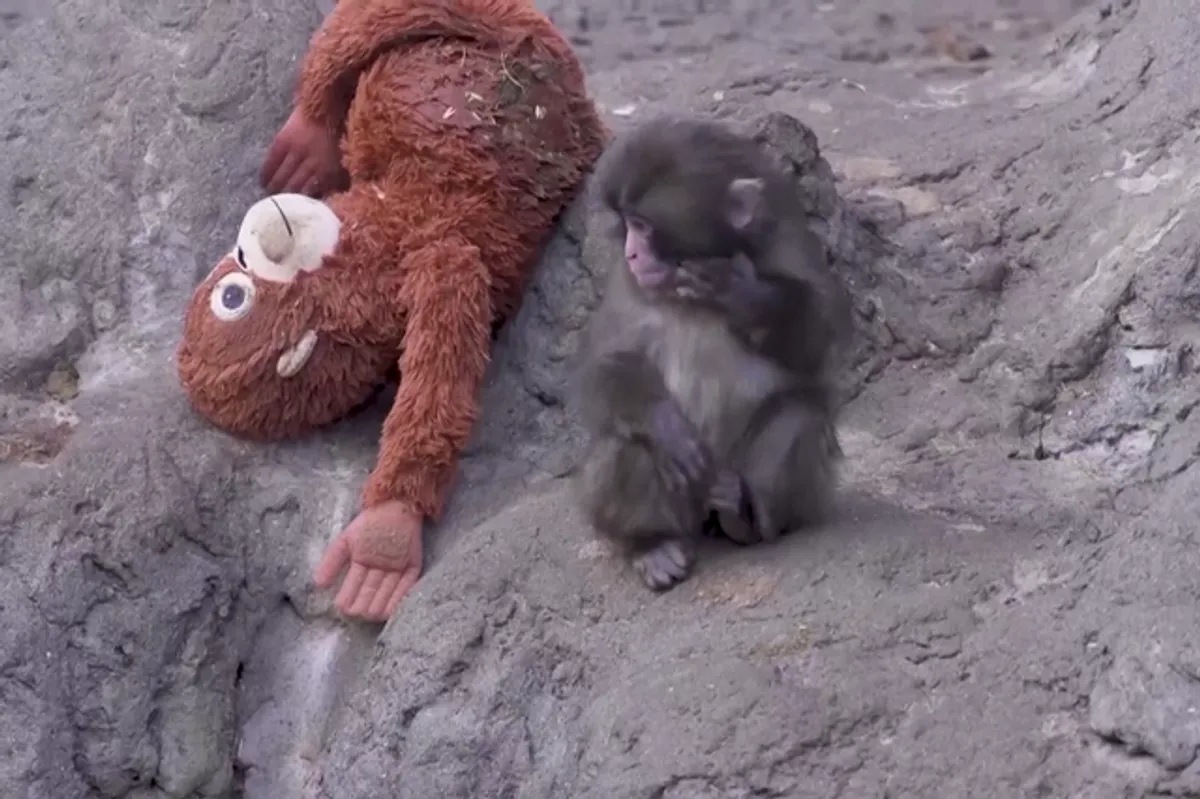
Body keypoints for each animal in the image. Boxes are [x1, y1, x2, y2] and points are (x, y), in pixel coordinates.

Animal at [571, 115, 852, 591]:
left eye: (643, 225)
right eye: (627, 223)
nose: (631, 253)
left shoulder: (790, 246)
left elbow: (819, 342)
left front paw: (743, 295)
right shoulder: (627, 286)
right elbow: (603, 368)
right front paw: (663, 423)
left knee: (799, 418)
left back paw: (745, 514)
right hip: (683, 495)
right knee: (624, 447)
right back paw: (652, 545)